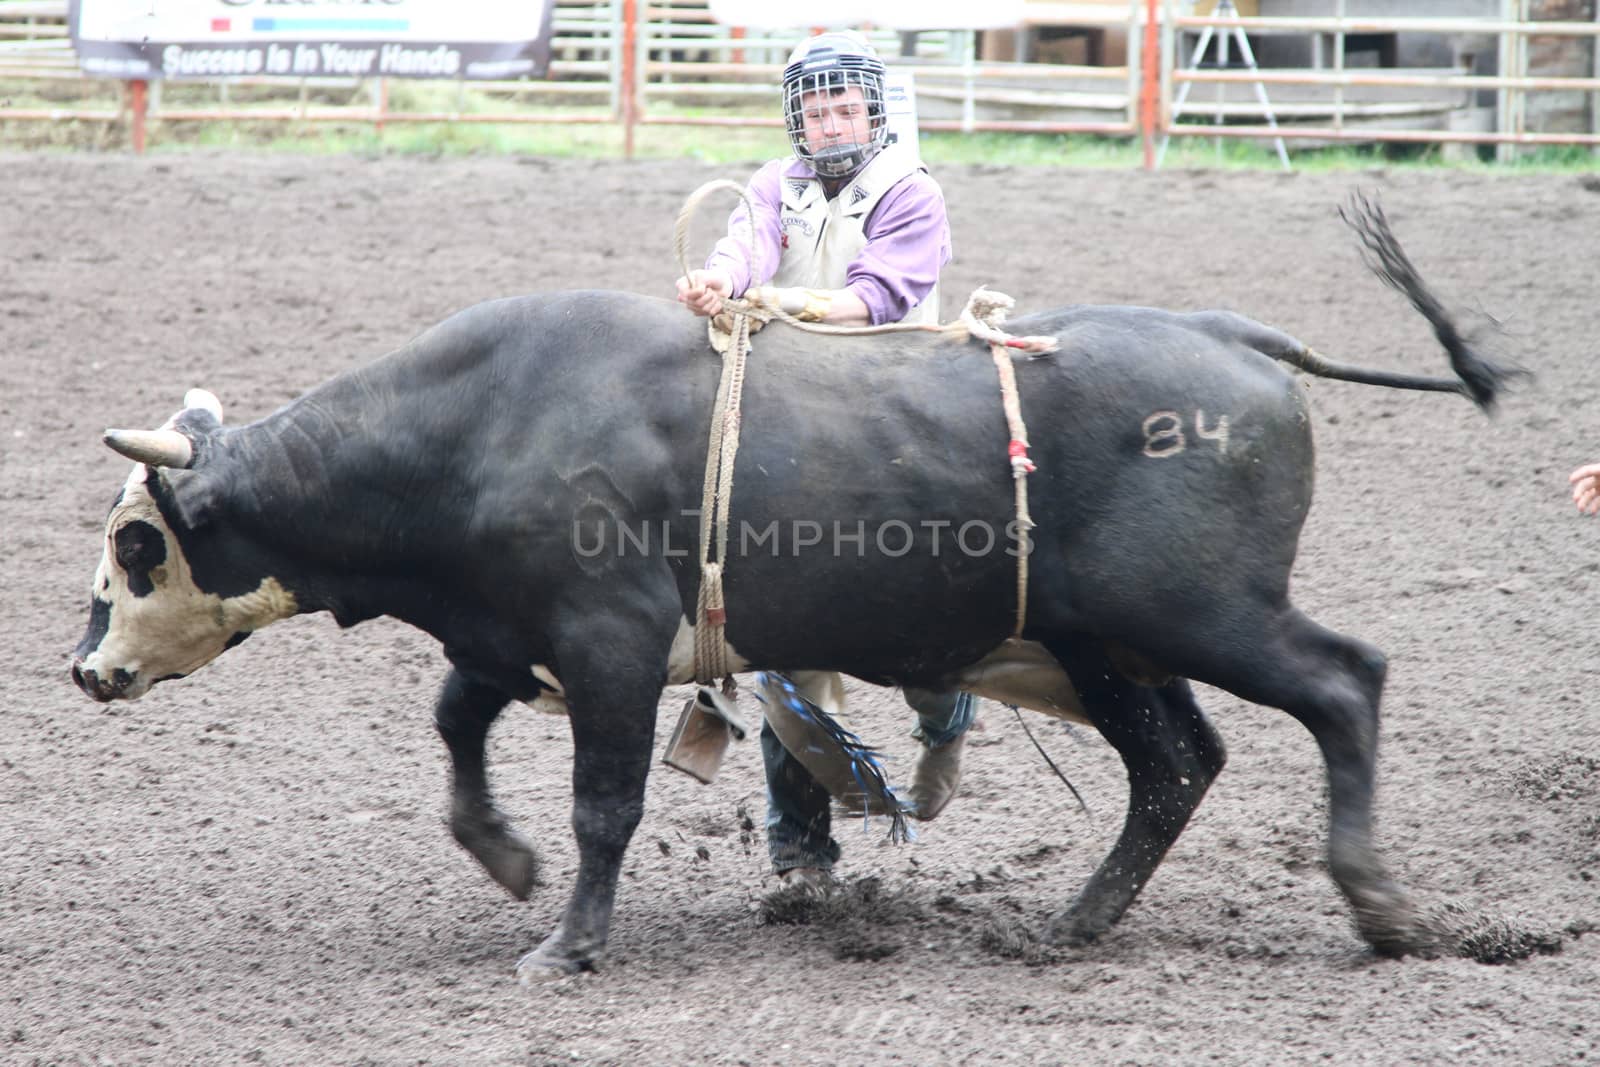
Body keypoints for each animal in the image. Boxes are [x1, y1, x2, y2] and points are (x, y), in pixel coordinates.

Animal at [68, 198, 1516, 979]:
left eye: (137, 544)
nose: (86, 666)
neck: (480, 421)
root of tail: (1238, 338)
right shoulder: (507, 632)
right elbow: (456, 723)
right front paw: (501, 851)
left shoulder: (607, 641)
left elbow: (605, 800)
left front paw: (568, 942)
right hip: (1104, 642)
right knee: (1174, 764)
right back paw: (1075, 921)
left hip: (1201, 614)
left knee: (1342, 682)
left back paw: (1378, 902)